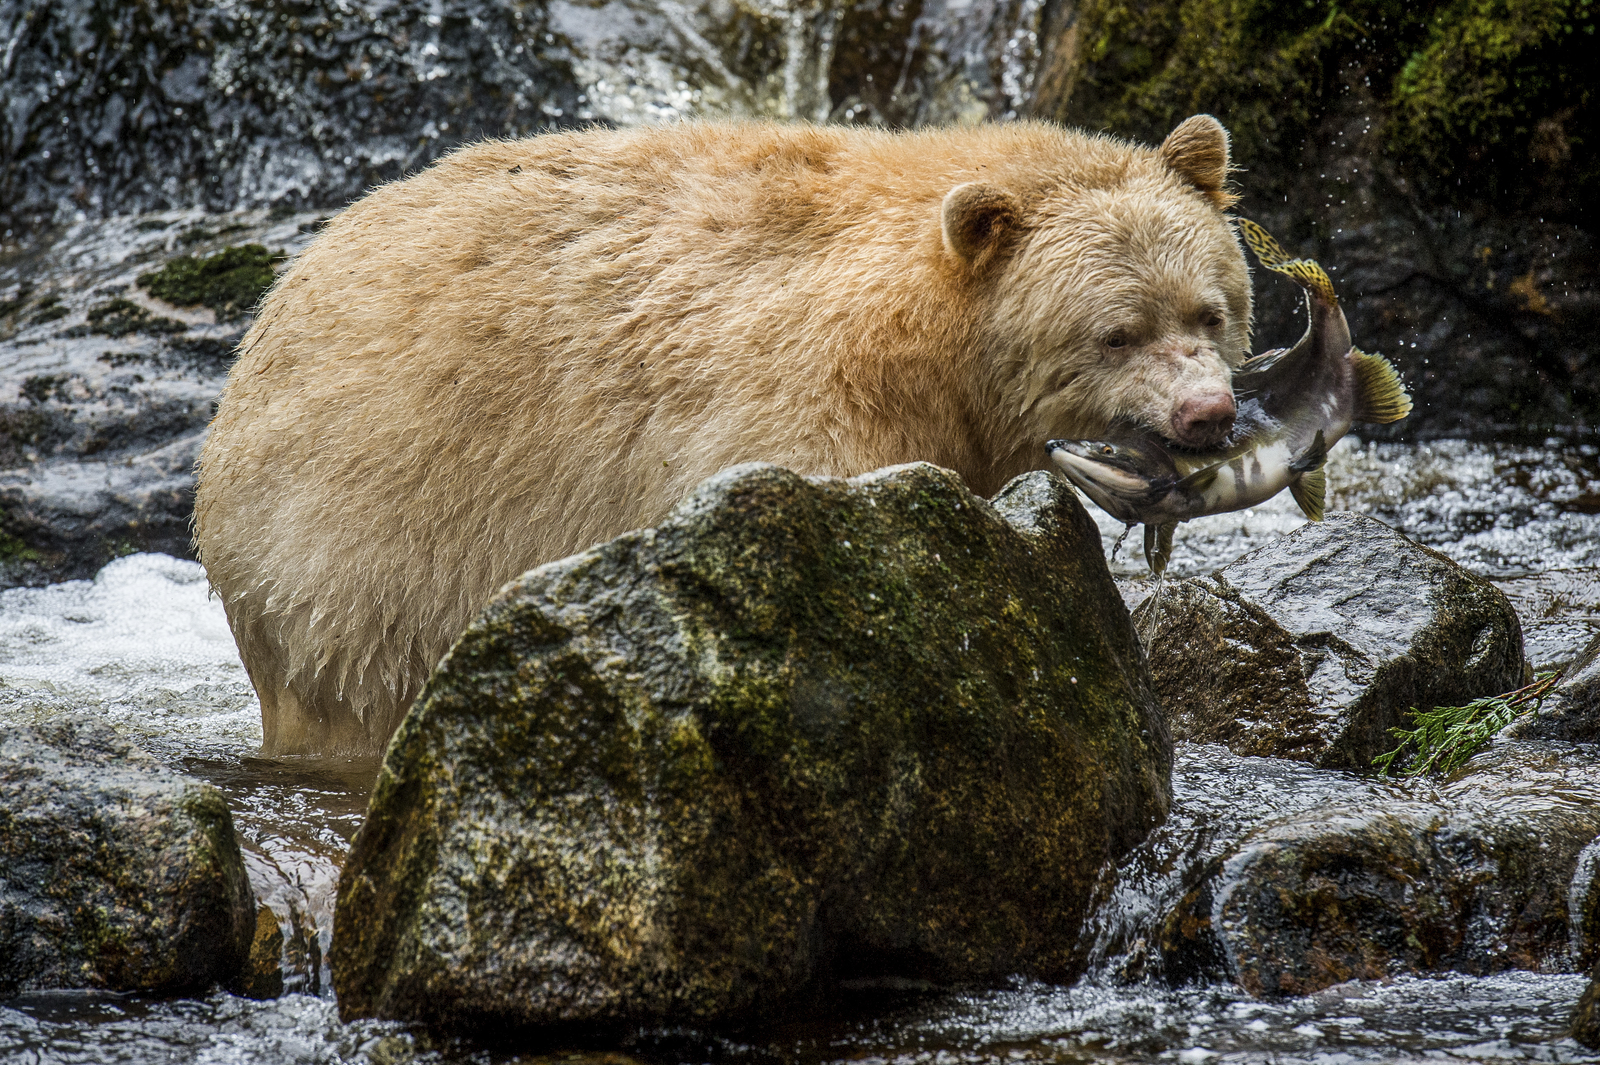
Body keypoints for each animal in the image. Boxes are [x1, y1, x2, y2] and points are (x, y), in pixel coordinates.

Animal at [195, 116, 1252, 757]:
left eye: (1210, 309)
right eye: (1116, 333)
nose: (1208, 414)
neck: (927, 348)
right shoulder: (796, 402)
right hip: (361, 561)